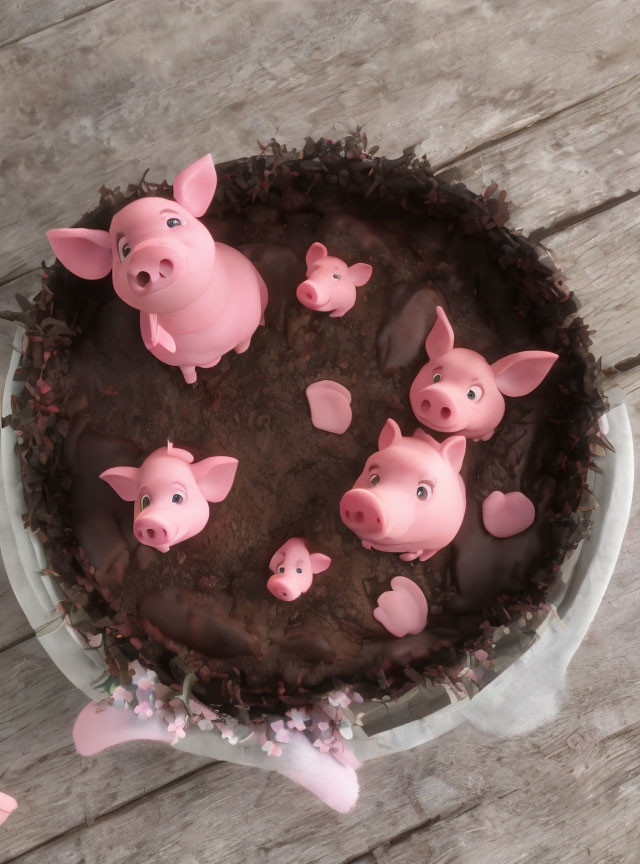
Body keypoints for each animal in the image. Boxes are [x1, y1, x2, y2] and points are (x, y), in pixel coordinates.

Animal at [47, 155, 268, 384]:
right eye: (125, 251)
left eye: (173, 221)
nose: (147, 256)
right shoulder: (179, 356)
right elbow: (186, 368)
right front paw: (191, 381)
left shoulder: (244, 329)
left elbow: (244, 344)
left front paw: (242, 352)